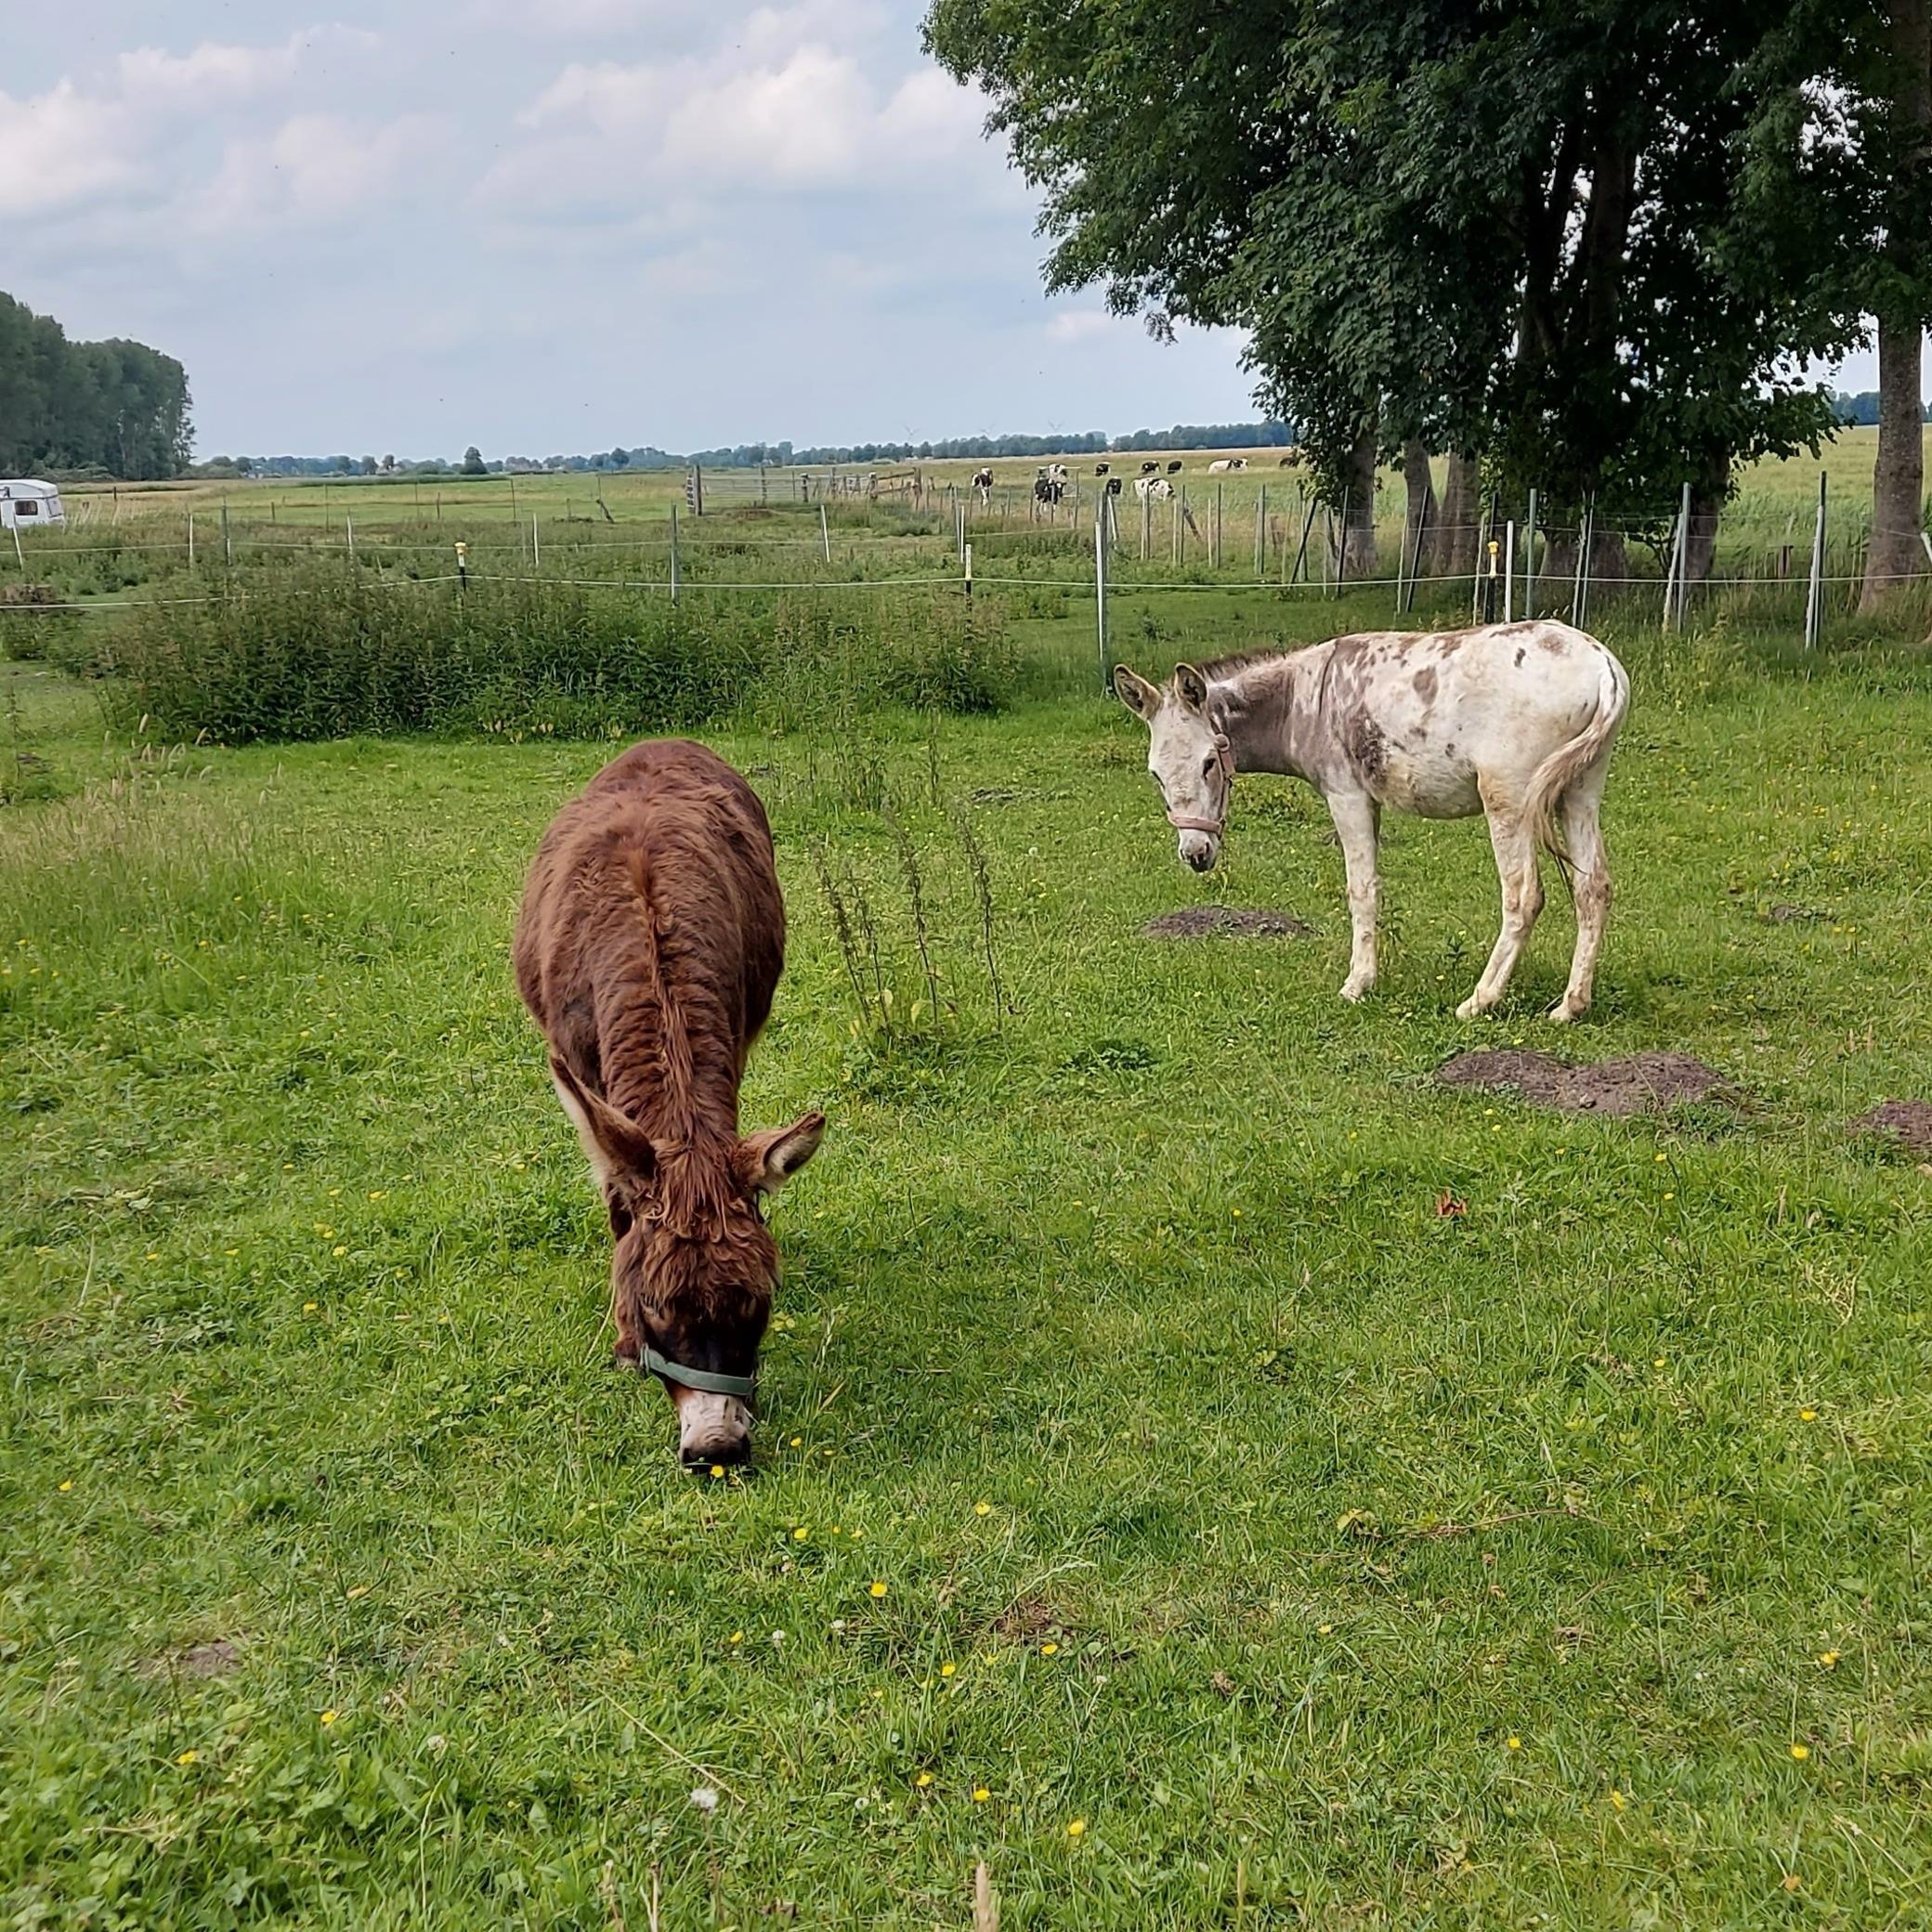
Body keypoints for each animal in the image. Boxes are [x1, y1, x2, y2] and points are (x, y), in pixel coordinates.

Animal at [514, 740, 825, 1468]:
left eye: (758, 1301)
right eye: (654, 1304)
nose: (718, 1448)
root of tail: (665, 744)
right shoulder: (586, 1079)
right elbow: (617, 1199)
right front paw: (627, 1347)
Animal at [1113, 622, 1630, 1022]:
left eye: (1208, 763)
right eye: (1155, 774)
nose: (1195, 855)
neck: (1302, 702)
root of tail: (1602, 665)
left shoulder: (1348, 796)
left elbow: (1361, 890)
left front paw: (1357, 984)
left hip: (1509, 795)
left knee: (1524, 896)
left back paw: (1479, 1001)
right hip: (1579, 790)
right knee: (1593, 888)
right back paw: (1570, 1006)